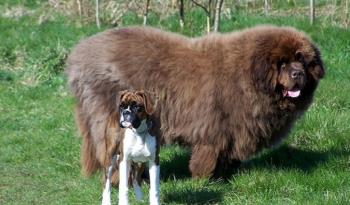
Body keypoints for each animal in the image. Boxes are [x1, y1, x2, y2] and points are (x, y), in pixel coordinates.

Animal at [67, 25, 326, 179]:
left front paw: (225, 173)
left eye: (302, 60)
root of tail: (79, 55)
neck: (249, 78)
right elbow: (208, 155)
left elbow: (227, 155)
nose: (298, 74)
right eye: (282, 63)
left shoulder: (234, 130)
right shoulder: (216, 127)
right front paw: (204, 178)